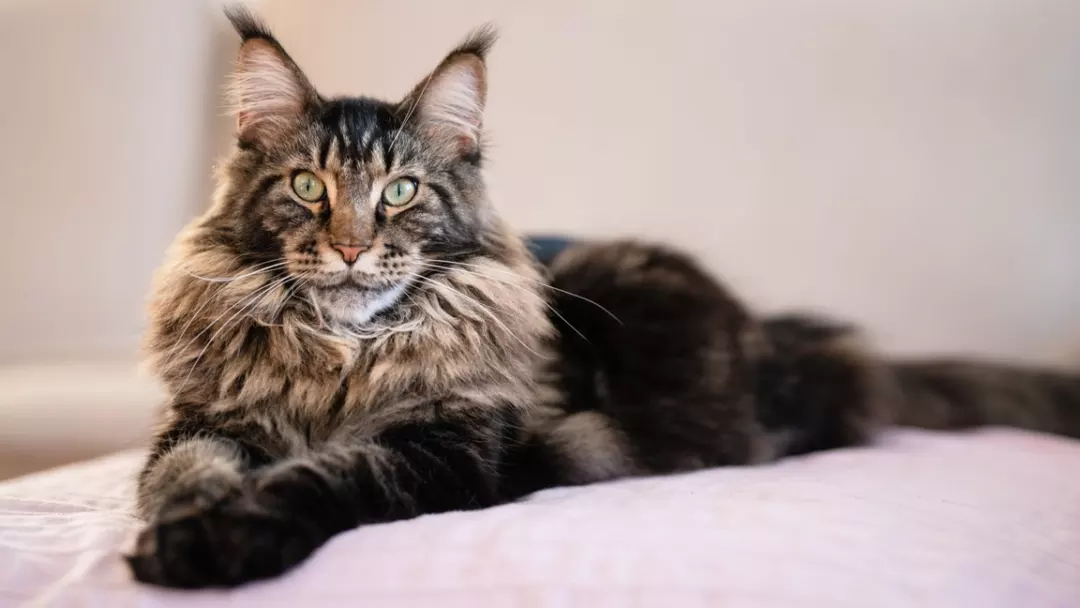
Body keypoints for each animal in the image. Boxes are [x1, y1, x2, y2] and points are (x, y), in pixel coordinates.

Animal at [128, 8, 1080, 591]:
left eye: (400, 192)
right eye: (307, 187)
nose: (354, 246)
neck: (341, 357)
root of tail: (777, 334)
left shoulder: (443, 445)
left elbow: (324, 476)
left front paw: (223, 540)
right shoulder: (203, 422)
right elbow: (182, 473)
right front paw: (181, 525)